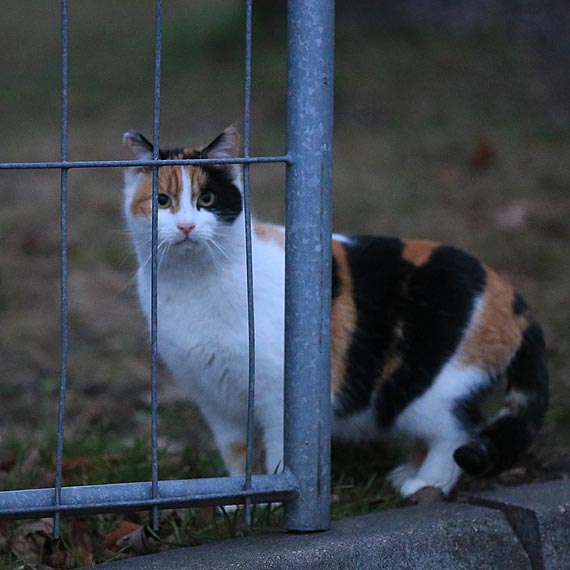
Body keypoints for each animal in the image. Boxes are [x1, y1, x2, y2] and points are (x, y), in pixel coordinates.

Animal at [123, 125, 544, 496]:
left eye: (207, 199)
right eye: (162, 201)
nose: (186, 226)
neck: (191, 283)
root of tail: (507, 291)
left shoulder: (280, 395)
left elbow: (279, 458)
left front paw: (272, 500)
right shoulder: (212, 397)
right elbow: (237, 456)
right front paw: (237, 501)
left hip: (431, 389)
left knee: (456, 432)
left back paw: (426, 483)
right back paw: (409, 471)